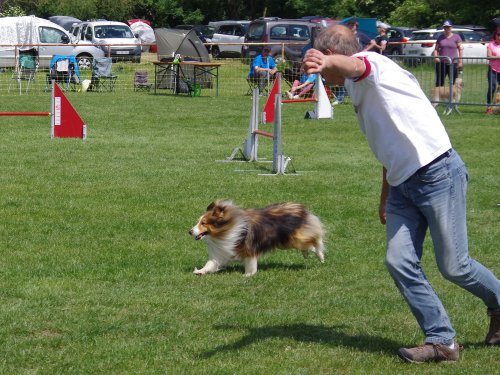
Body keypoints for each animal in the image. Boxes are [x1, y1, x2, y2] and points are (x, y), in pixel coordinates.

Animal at [189, 200, 326, 276]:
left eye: (203, 223)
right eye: (198, 222)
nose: (190, 232)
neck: (226, 230)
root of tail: (298, 208)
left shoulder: (248, 249)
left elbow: (250, 263)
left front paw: (248, 275)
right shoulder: (220, 252)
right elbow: (210, 264)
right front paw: (200, 271)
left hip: (294, 238)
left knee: (315, 240)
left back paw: (321, 256)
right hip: (286, 241)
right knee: (309, 245)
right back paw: (307, 254)